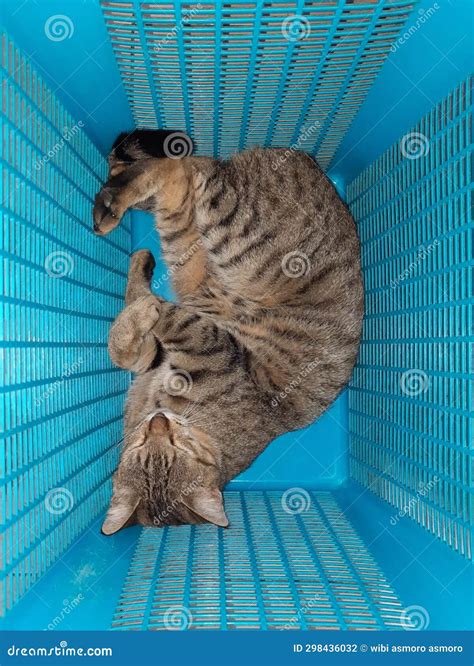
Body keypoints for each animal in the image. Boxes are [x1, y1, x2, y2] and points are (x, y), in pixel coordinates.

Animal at [94, 132, 364, 532]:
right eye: (142, 450)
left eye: (174, 451)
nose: (158, 423)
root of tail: (307, 160)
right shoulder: (163, 355)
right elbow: (128, 344)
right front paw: (138, 308)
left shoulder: (206, 345)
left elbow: (153, 319)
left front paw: (144, 307)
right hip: (201, 236)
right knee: (182, 168)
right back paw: (116, 202)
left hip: (228, 233)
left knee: (183, 168)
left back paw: (116, 203)